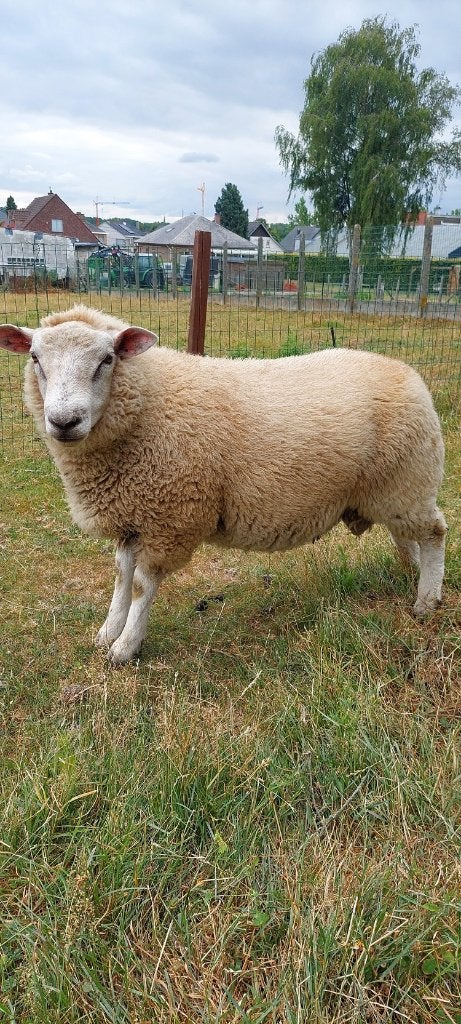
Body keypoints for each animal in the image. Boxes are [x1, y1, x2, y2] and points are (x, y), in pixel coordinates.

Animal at [0, 304, 446, 664]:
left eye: (106, 360)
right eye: (36, 358)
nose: (64, 421)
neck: (149, 404)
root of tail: (408, 373)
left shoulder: (169, 519)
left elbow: (143, 585)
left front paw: (125, 648)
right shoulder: (134, 514)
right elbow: (121, 575)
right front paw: (108, 631)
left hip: (407, 481)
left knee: (434, 533)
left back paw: (426, 599)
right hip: (388, 491)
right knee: (405, 536)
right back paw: (410, 574)